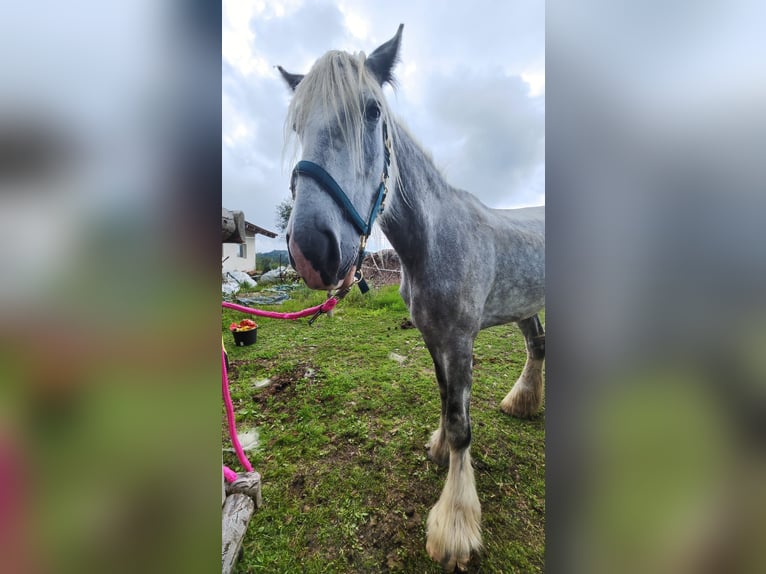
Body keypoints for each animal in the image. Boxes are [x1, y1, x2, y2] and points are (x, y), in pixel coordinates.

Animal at [278, 24, 545, 572]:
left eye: (372, 111)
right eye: (296, 123)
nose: (311, 249)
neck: (433, 240)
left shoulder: (460, 341)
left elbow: (463, 425)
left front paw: (455, 527)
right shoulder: (432, 336)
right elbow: (447, 404)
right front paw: (440, 448)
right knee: (536, 347)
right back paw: (522, 402)